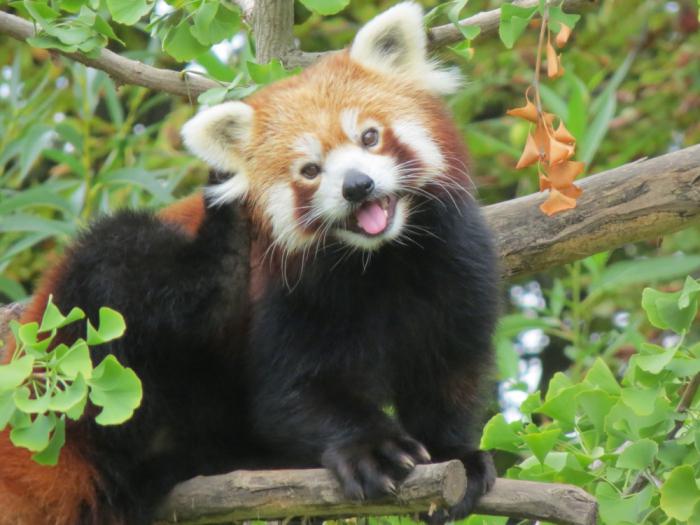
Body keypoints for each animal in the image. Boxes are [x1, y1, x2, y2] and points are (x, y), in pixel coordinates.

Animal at [2, 2, 500, 520]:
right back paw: (224, 236)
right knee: (128, 264)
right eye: (309, 170)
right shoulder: (287, 290)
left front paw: (453, 453)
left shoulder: (454, 264)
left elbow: (450, 369)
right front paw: (373, 449)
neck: (378, 261)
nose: (357, 186)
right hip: (86, 338)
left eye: (370, 136)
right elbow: (293, 393)